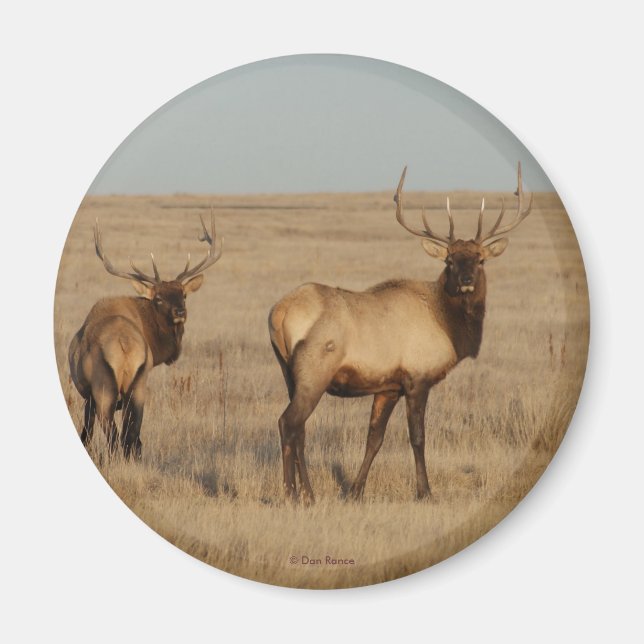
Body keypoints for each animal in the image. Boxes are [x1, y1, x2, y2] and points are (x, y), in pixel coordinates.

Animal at [68, 213, 223, 459]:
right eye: (158, 298)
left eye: (184, 294)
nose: (180, 312)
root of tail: (123, 344)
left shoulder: (89, 396)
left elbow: (88, 433)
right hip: (137, 383)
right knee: (130, 434)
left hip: (105, 388)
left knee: (115, 435)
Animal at [268, 163, 533, 503]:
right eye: (449, 260)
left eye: (480, 259)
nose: (466, 279)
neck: (448, 325)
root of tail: (279, 313)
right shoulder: (417, 378)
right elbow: (417, 437)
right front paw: (425, 492)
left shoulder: (388, 386)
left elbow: (374, 438)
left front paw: (355, 492)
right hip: (315, 372)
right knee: (288, 423)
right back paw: (291, 494)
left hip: (289, 373)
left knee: (300, 428)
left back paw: (310, 494)